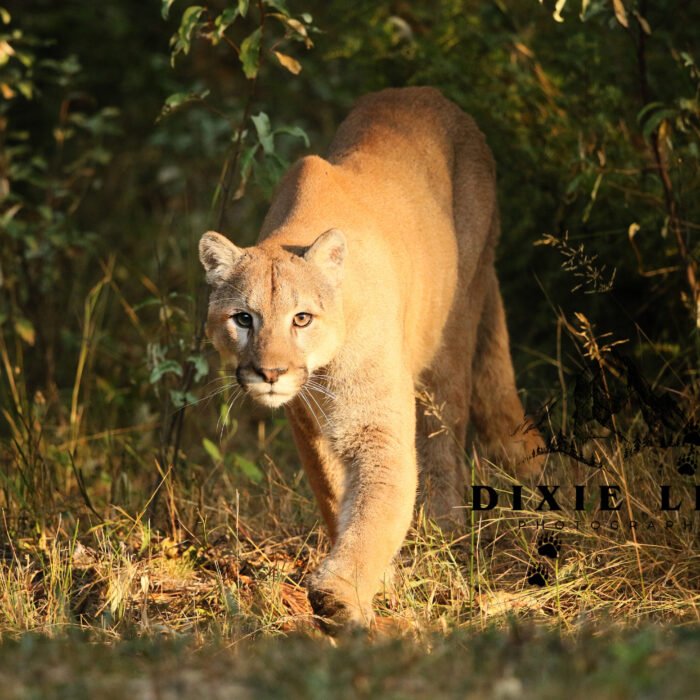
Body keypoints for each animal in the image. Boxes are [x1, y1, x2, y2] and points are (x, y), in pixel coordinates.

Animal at [199, 87, 544, 632]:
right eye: (243, 319)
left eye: (302, 318)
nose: (270, 372)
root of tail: (427, 92)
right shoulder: (309, 426)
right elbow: (336, 495)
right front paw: (375, 581)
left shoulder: (376, 424)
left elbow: (379, 502)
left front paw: (342, 594)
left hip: (452, 326)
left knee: (446, 430)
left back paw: (446, 528)